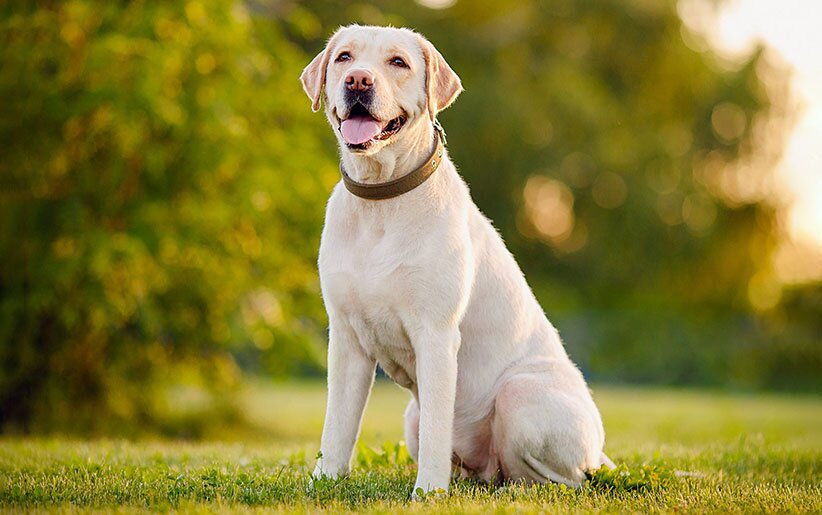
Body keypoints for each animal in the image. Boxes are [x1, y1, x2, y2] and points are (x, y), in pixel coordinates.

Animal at [300, 23, 616, 496]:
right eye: (344, 58)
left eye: (398, 62)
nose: (358, 81)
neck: (380, 201)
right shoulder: (347, 339)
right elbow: (337, 424)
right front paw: (325, 481)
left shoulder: (435, 334)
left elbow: (438, 423)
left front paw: (429, 492)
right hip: (410, 418)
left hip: (520, 397)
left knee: (560, 477)